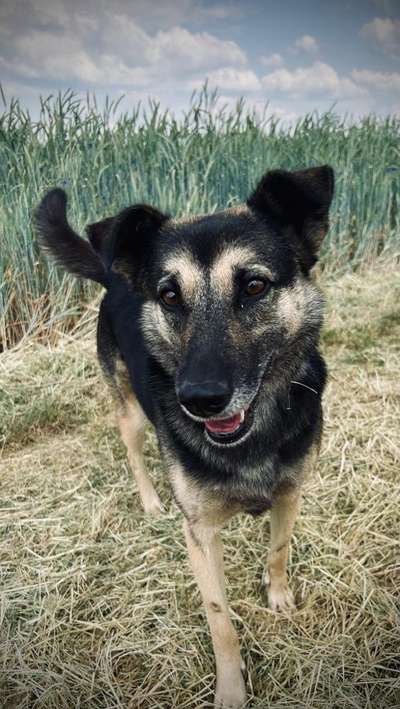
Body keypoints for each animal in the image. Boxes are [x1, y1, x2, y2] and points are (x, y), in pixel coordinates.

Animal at [35, 166, 334, 708]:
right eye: (170, 295)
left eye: (254, 286)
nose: (200, 399)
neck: (252, 437)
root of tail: (117, 274)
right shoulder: (199, 534)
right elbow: (220, 622)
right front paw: (231, 689)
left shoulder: (291, 492)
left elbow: (278, 549)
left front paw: (279, 597)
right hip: (130, 411)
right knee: (134, 452)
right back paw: (151, 501)